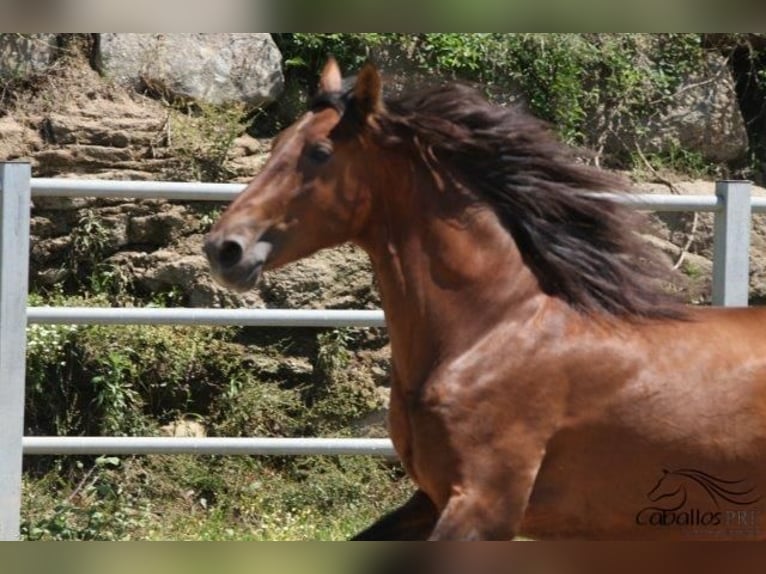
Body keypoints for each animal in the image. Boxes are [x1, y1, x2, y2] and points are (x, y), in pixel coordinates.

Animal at [204, 58, 766, 540]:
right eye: (278, 142)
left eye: (319, 153)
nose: (224, 248)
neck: (487, 333)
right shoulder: (430, 499)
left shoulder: (486, 505)